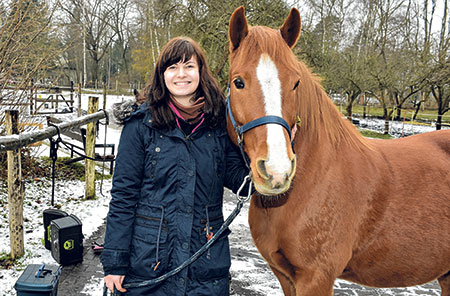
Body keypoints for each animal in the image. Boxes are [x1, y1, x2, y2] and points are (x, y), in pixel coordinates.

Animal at [227, 5, 450, 296]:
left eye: (295, 83)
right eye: (238, 82)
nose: (277, 172)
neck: (314, 180)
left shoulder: (316, 278)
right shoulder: (286, 277)